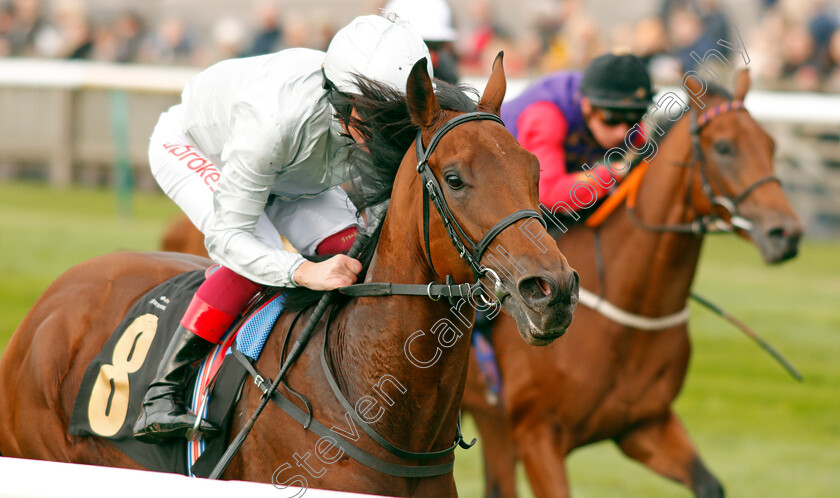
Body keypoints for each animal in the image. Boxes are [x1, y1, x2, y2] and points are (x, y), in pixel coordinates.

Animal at [462, 70, 804, 498]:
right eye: (724, 147)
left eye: (770, 144)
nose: (786, 234)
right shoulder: (536, 435)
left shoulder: (643, 425)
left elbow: (708, 484)